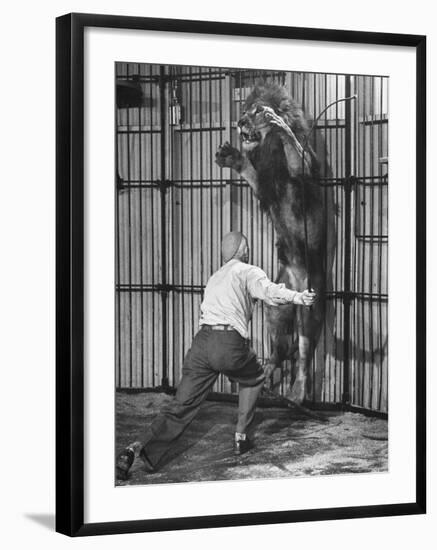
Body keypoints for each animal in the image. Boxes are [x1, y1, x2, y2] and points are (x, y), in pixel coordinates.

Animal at [215, 80, 334, 406]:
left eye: (257, 111)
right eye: (244, 110)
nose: (240, 122)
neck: (268, 148)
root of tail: (294, 279)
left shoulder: (305, 171)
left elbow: (297, 153)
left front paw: (280, 125)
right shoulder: (264, 186)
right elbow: (250, 171)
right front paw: (233, 158)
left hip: (308, 303)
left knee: (304, 354)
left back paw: (297, 393)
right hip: (275, 308)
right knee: (279, 351)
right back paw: (265, 375)